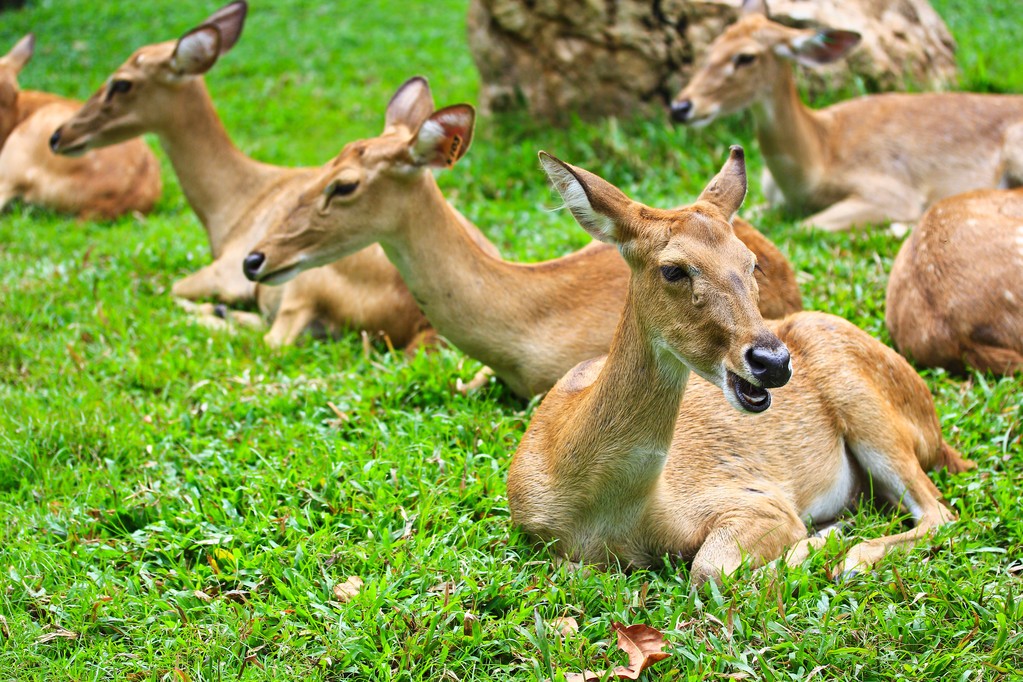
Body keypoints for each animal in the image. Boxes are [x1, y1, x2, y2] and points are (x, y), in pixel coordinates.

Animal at [49, 1, 450, 348]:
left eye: (121, 83)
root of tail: (420, 322)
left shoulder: (228, 270)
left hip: (306, 280)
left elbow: (168, 287)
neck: (232, 204)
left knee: (274, 340)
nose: (59, 135)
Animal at [508, 148, 973, 586]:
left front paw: (822, 538)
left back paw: (850, 554)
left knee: (939, 512)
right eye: (672, 269)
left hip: (872, 413)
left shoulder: (756, 499)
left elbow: (707, 569)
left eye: (753, 262)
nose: (773, 362)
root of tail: (933, 426)